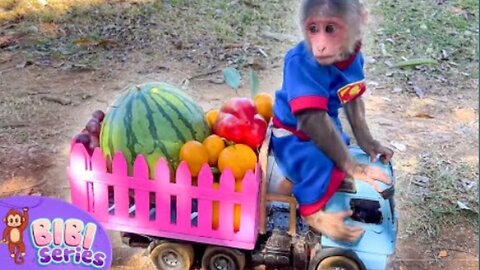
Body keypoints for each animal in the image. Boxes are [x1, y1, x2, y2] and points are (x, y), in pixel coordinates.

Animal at [270, 0, 394, 243]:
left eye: (330, 29)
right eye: (313, 29)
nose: (319, 47)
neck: (340, 62)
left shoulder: (356, 60)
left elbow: (353, 102)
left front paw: (371, 145)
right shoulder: (302, 64)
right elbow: (313, 118)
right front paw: (357, 169)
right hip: (287, 147)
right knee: (314, 165)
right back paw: (319, 219)